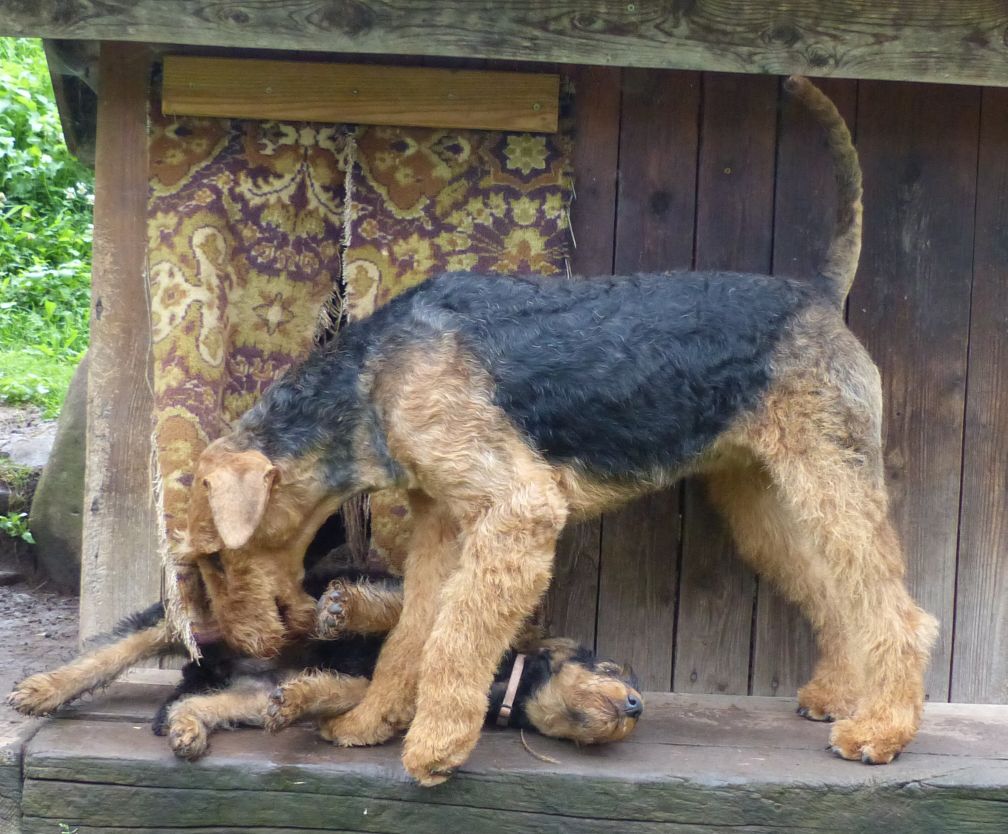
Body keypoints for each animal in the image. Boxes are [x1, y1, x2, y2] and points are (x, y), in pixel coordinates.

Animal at [8, 567, 643, 759]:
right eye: (614, 670)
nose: (637, 706)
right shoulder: (422, 607)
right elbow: (392, 609)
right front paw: (340, 609)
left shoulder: (376, 691)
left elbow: (340, 691)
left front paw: (299, 704)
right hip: (189, 622)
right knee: (104, 655)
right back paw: (38, 690)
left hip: (243, 693)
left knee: (196, 703)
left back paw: (189, 729)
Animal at [173, 76, 937, 785]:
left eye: (213, 558)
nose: (248, 651)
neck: (371, 381)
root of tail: (818, 295)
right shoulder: (444, 524)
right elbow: (413, 634)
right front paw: (367, 722)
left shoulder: (517, 508)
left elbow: (454, 640)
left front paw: (434, 747)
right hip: (766, 493)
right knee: (834, 592)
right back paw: (839, 694)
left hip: (829, 475)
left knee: (897, 611)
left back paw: (880, 730)